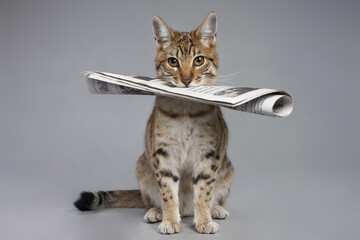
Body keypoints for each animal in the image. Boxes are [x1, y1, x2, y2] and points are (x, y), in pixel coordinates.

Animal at [74, 11, 235, 234]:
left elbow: (203, 193)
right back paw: (156, 212)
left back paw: (216, 210)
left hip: (228, 169)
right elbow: (168, 194)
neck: (186, 110)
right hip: (142, 166)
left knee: (212, 198)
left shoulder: (208, 156)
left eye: (199, 60)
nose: (186, 80)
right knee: (152, 200)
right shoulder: (164, 155)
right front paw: (170, 221)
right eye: (173, 61)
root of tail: (186, 211)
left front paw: (204, 220)